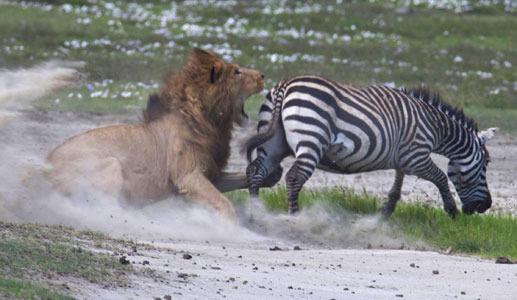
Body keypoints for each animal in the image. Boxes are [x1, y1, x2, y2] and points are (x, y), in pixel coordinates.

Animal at [47, 48, 270, 219]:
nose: (262, 75)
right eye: (237, 72)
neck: (210, 122)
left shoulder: (211, 174)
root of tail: (43, 168)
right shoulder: (188, 176)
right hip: (110, 165)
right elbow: (224, 204)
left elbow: (241, 178)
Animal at [246, 74, 496, 216]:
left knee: (256, 171)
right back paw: (295, 216)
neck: (434, 127)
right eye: (485, 166)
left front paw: (386, 212)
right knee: (294, 177)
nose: (485, 206)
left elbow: (397, 185)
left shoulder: (403, 158)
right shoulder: (417, 156)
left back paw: (256, 213)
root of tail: (285, 85)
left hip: (273, 144)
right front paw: (451, 211)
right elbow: (441, 178)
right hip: (311, 140)